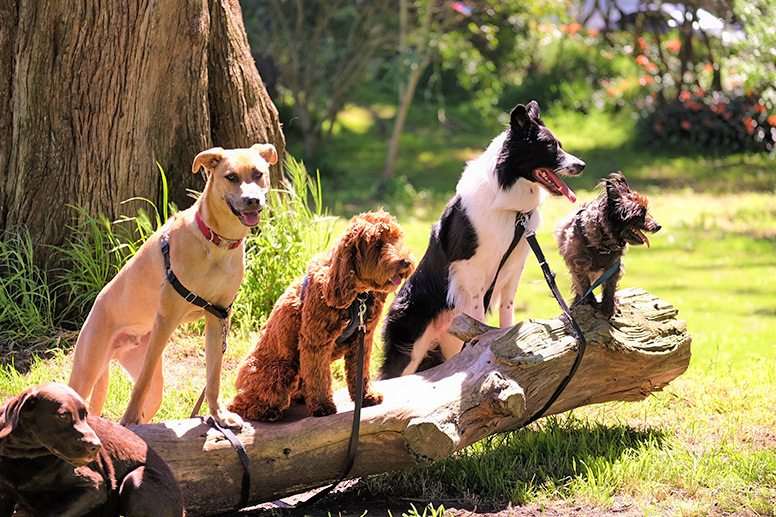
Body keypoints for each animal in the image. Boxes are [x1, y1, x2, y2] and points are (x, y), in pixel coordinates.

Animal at [68, 143, 278, 426]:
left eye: (258, 174)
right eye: (231, 176)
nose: (252, 201)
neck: (216, 242)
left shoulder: (219, 316)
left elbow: (213, 377)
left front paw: (219, 415)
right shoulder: (166, 319)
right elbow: (141, 384)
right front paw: (128, 420)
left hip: (151, 380)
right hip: (87, 369)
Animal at [227, 210, 416, 420]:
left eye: (397, 239)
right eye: (377, 244)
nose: (406, 262)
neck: (357, 296)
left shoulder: (363, 339)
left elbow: (360, 372)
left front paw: (366, 396)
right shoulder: (315, 341)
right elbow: (319, 377)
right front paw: (322, 405)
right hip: (279, 373)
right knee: (237, 405)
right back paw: (265, 412)